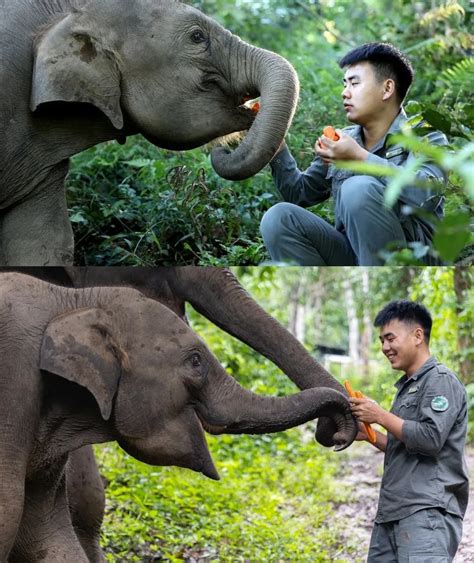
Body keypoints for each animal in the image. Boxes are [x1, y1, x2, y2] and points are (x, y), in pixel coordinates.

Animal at [0, 270, 356, 560]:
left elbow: (45, 534)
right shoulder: (15, 385)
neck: (70, 301)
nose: (336, 433)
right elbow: (10, 510)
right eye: (196, 361)